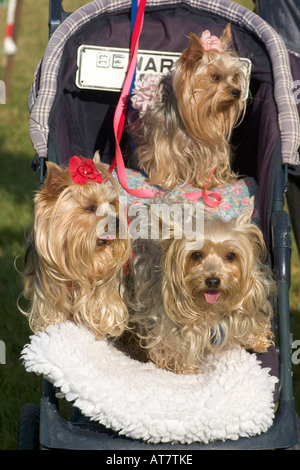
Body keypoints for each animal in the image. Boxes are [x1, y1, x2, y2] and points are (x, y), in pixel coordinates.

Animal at [123, 196, 276, 372]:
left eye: (231, 256)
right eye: (196, 255)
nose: (213, 281)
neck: (211, 306)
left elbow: (247, 317)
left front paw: (257, 340)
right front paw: (187, 369)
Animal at [130, 24, 250, 191]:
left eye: (234, 77)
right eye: (216, 77)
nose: (237, 92)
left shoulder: (208, 144)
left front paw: (207, 182)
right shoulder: (163, 142)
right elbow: (165, 159)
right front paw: (166, 182)